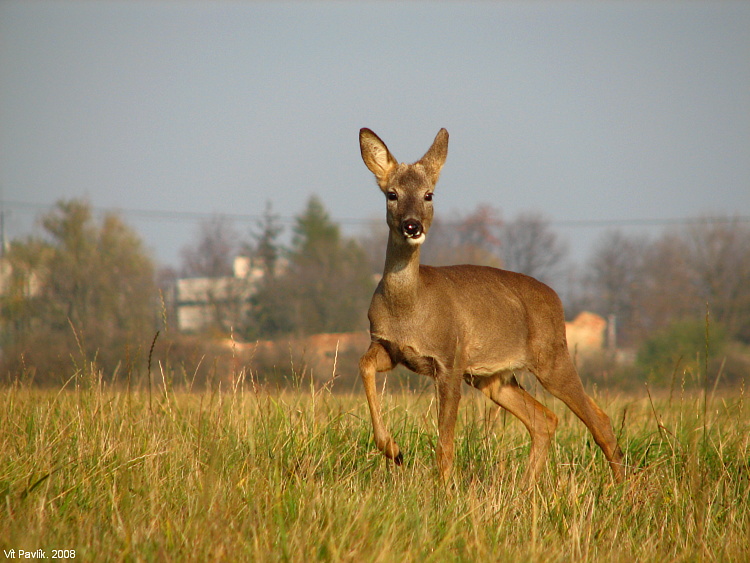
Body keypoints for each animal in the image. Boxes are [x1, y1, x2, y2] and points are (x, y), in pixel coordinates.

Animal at [358, 127, 625, 485]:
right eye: (392, 194)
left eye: (429, 194)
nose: (412, 226)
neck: (409, 308)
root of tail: (555, 297)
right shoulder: (389, 348)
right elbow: (364, 365)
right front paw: (393, 450)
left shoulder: (450, 358)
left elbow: (445, 441)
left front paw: (443, 489)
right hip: (493, 377)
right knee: (545, 419)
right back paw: (525, 489)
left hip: (551, 356)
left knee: (599, 421)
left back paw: (625, 488)